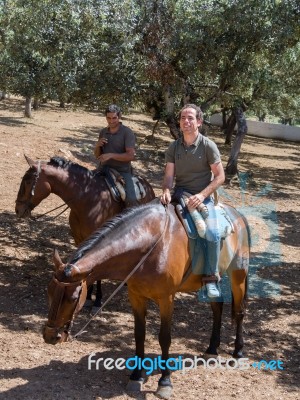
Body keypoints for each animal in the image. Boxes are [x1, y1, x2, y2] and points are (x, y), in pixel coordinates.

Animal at [14, 155, 155, 304]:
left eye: (28, 181)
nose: (18, 209)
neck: (87, 200)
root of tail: (148, 186)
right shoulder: (79, 239)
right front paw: (87, 295)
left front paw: (97, 298)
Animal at [44, 202, 251, 398]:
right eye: (49, 292)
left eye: (73, 298)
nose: (49, 336)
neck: (150, 246)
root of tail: (237, 214)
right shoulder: (136, 296)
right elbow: (139, 335)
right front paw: (137, 375)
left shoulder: (166, 299)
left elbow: (165, 338)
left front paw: (164, 382)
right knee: (217, 308)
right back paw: (212, 349)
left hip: (238, 274)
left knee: (240, 312)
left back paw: (238, 352)